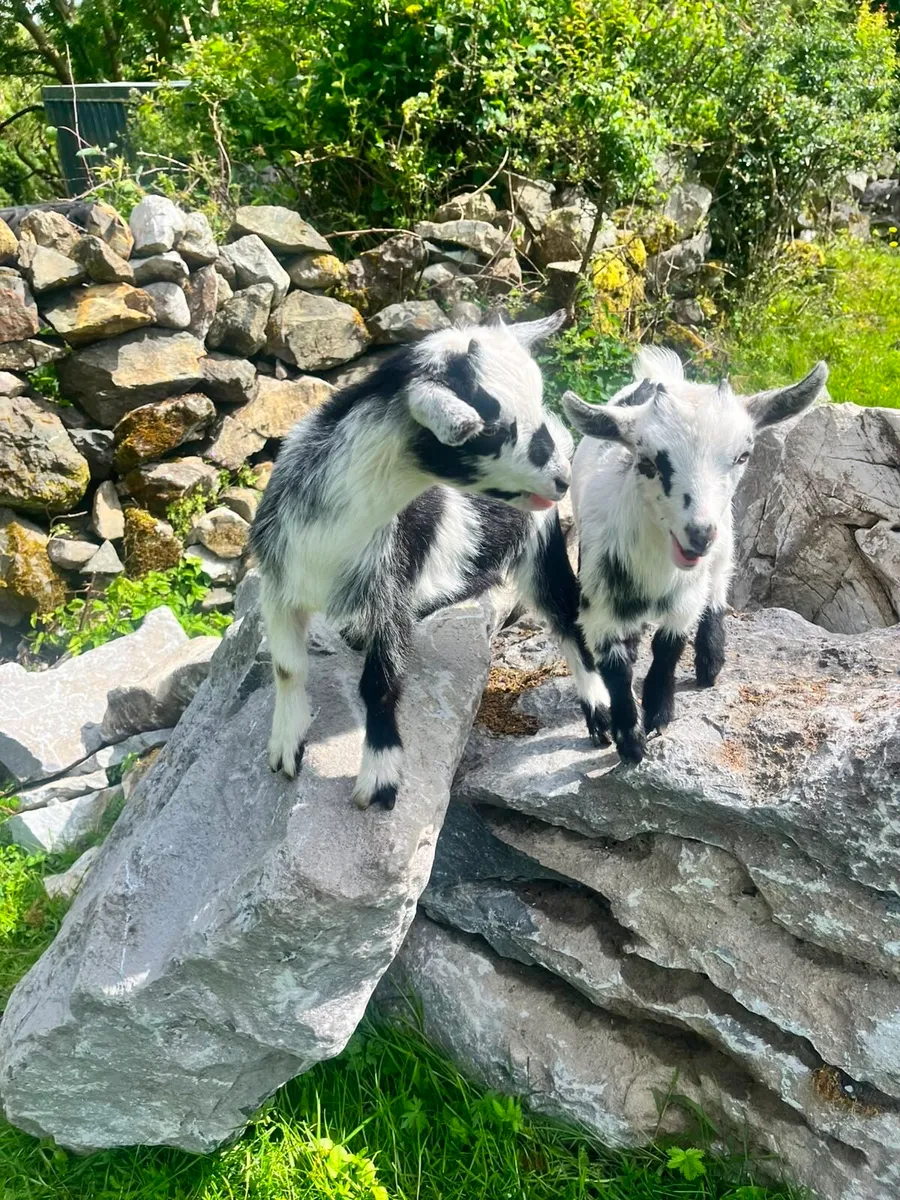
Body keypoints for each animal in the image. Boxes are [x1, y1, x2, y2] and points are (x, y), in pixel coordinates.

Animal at [251, 311, 608, 810]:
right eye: (492, 428)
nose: (562, 477)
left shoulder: (390, 589)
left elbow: (380, 683)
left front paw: (378, 779)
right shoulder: (278, 583)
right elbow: (288, 666)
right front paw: (286, 746)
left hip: (539, 543)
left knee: (565, 615)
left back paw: (600, 712)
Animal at [562, 348, 828, 763]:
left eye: (743, 455)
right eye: (647, 462)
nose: (699, 534)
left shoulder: (686, 596)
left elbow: (669, 646)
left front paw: (658, 714)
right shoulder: (598, 603)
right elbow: (615, 668)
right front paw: (629, 740)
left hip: (726, 539)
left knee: (718, 584)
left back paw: (710, 660)